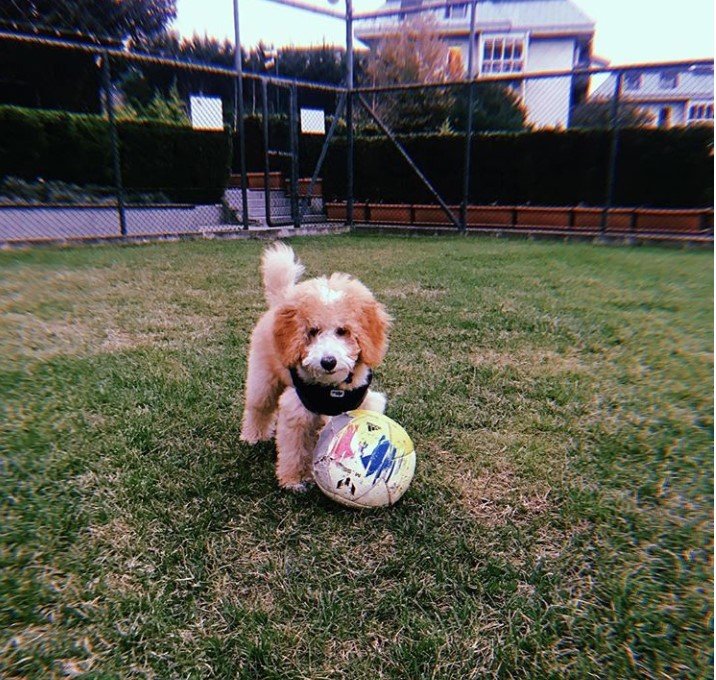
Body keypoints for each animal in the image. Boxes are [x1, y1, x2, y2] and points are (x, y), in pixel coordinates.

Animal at [239, 242, 392, 492]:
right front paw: (295, 480)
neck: (333, 388)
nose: (328, 361)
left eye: (343, 331)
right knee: (258, 408)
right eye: (312, 331)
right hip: (263, 378)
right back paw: (253, 436)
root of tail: (280, 302)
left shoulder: (363, 402)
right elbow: (295, 450)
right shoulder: (297, 410)